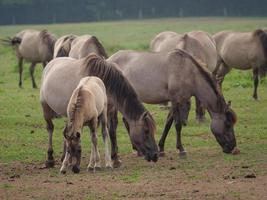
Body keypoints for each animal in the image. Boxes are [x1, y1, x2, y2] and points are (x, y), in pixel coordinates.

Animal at [108, 48, 240, 156]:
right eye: (228, 124)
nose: (233, 147)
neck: (188, 71)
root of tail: (109, 59)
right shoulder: (176, 101)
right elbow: (177, 125)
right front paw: (181, 149)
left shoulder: (175, 101)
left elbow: (168, 123)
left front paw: (161, 148)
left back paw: (137, 149)